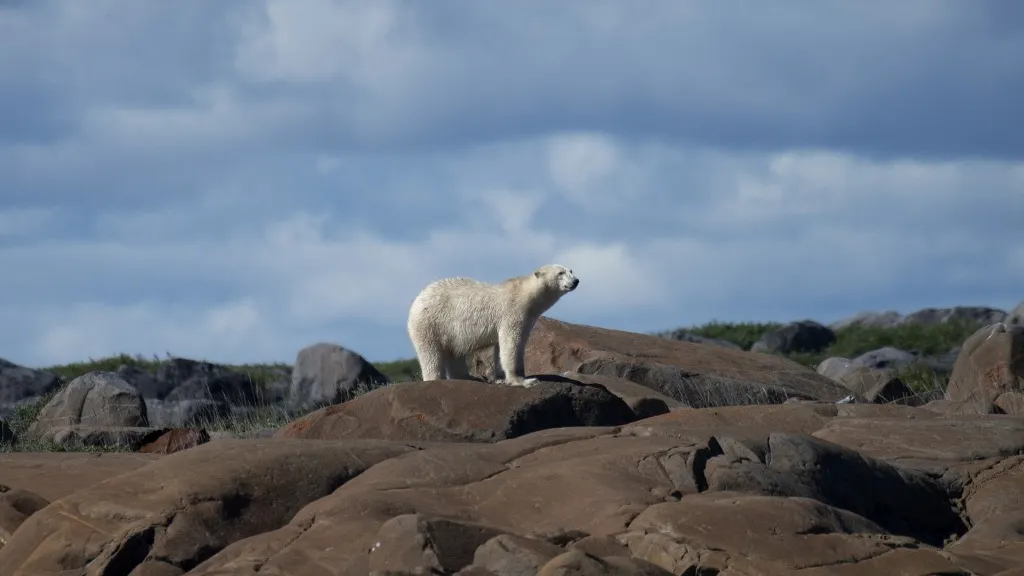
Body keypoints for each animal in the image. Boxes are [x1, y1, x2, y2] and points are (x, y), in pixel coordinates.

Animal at [406, 264, 580, 388]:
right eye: (560, 273)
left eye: (571, 270)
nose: (575, 281)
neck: (524, 294)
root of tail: (416, 301)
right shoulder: (512, 313)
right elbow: (511, 344)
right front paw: (523, 381)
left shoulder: (527, 319)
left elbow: (504, 347)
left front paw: (501, 378)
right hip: (430, 323)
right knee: (431, 354)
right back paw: (436, 378)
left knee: (454, 353)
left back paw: (469, 377)